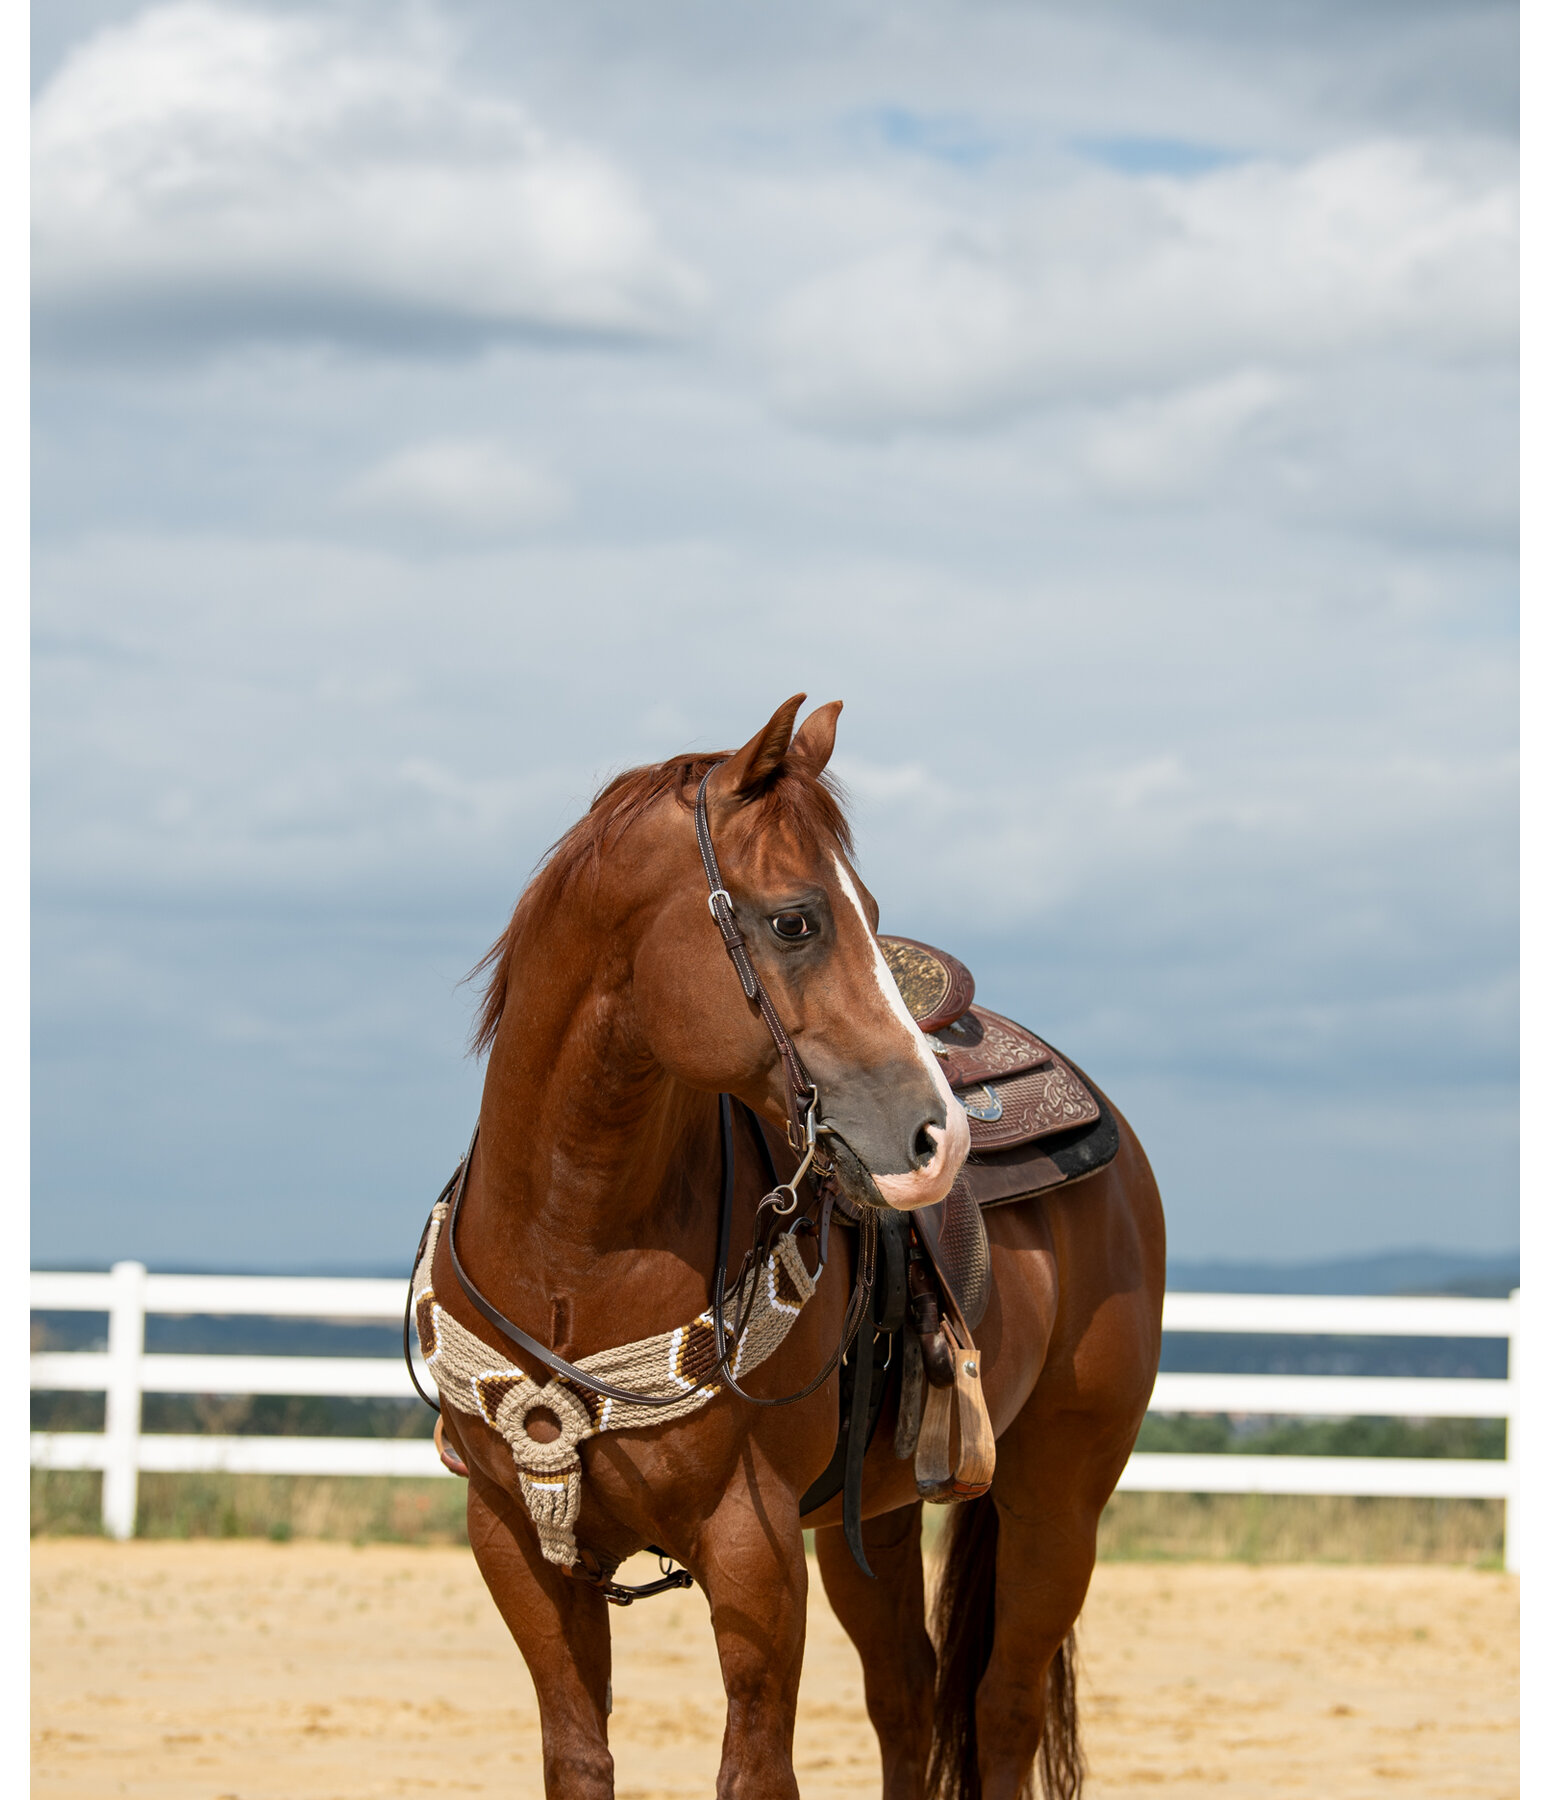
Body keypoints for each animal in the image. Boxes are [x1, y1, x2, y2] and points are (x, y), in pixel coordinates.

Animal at [417, 691, 1166, 1800]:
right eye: (796, 919)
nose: (934, 1135)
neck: (571, 1255)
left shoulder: (753, 1544)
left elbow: (757, 1768)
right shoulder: (515, 1542)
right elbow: (577, 1756)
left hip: (1059, 1494)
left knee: (1001, 1709)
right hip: (876, 1516)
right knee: (907, 1697)